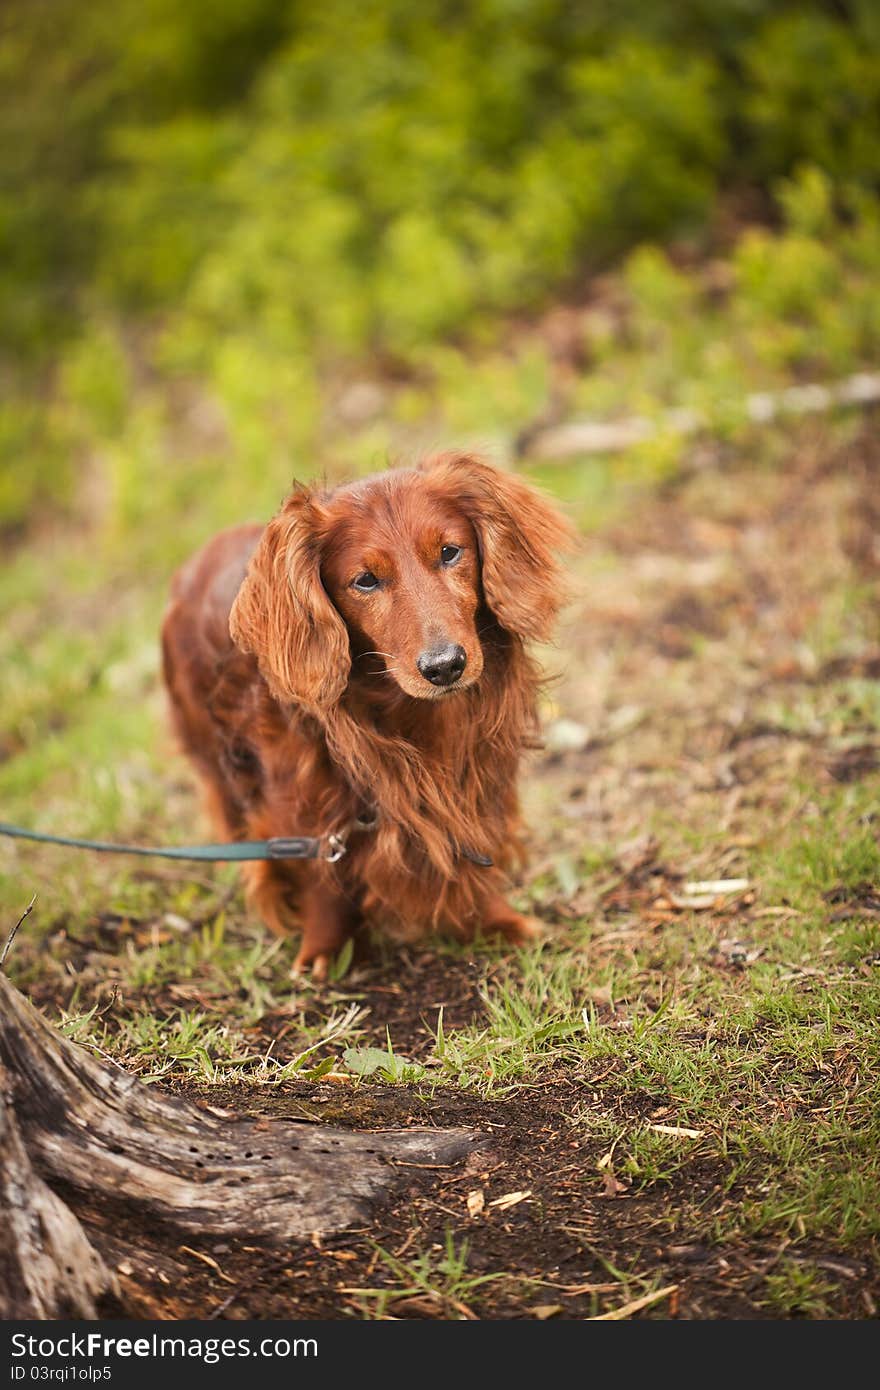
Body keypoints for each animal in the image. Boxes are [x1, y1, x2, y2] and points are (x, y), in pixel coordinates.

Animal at [160, 450, 572, 973]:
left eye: (450, 552)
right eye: (366, 581)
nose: (445, 666)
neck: (411, 716)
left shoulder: (475, 773)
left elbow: (473, 838)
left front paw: (495, 920)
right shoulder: (301, 799)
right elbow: (321, 878)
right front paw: (327, 949)